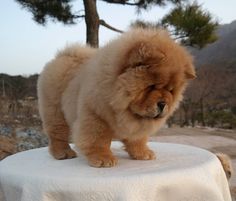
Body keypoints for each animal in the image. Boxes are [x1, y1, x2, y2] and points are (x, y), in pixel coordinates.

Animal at [37, 27, 195, 167]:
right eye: (151, 86)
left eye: (171, 91)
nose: (163, 104)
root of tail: (63, 56)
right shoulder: (95, 116)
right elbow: (97, 139)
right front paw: (103, 159)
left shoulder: (136, 125)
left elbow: (137, 139)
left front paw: (142, 153)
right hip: (55, 111)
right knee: (57, 134)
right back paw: (63, 153)